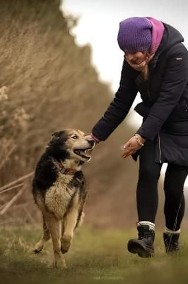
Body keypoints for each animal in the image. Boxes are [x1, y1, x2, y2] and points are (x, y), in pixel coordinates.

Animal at [32, 129, 94, 268]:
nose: (92, 140)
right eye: (74, 137)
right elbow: (55, 241)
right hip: (46, 215)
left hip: (77, 213)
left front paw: (65, 248)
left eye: (84, 135)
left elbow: (67, 235)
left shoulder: (72, 210)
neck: (64, 170)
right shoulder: (49, 213)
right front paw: (60, 263)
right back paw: (38, 248)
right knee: (47, 233)